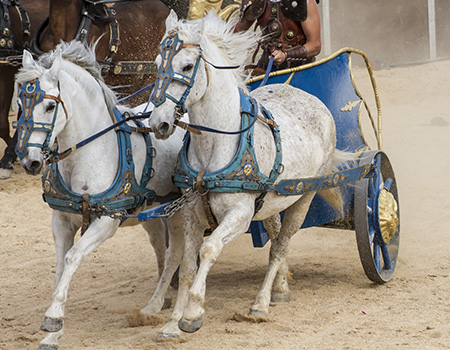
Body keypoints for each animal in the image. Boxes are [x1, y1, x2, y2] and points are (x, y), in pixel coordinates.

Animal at [15, 41, 185, 350]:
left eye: (50, 105)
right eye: (20, 104)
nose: (29, 161)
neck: (88, 153)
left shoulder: (107, 221)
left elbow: (72, 258)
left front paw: (53, 319)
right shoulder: (61, 221)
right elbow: (60, 266)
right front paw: (52, 333)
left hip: (178, 210)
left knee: (175, 251)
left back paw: (157, 304)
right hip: (153, 214)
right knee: (161, 247)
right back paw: (162, 297)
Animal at [146, 10, 342, 340]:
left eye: (186, 66)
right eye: (158, 64)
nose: (157, 123)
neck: (215, 147)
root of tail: (312, 99)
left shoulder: (239, 214)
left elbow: (210, 250)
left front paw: (193, 313)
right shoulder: (190, 214)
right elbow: (186, 267)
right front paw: (172, 324)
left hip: (304, 196)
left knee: (281, 245)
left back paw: (260, 304)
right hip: (273, 203)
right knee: (276, 236)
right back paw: (281, 286)